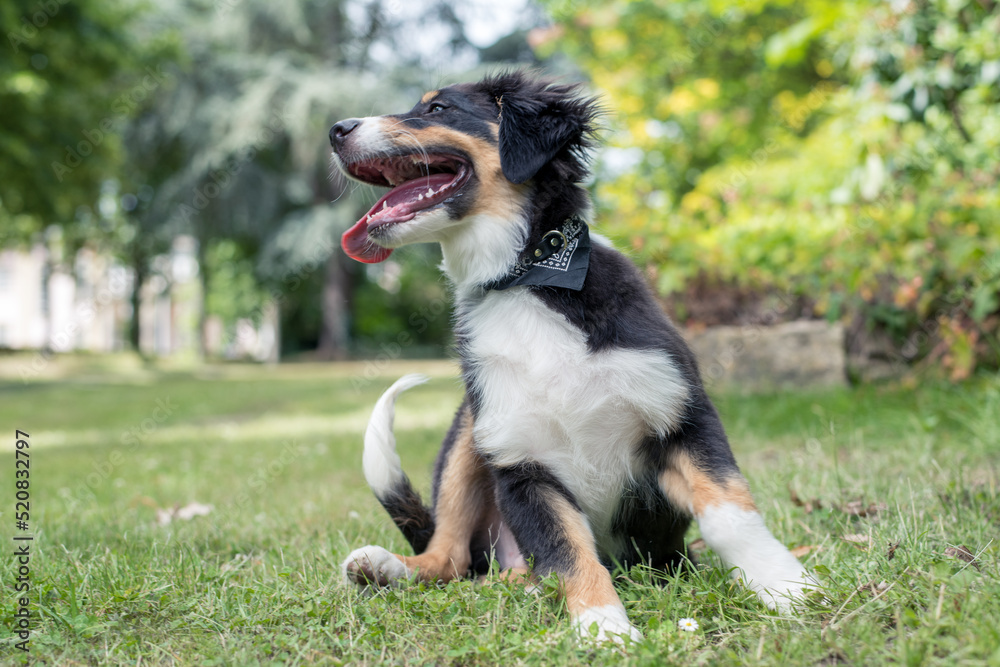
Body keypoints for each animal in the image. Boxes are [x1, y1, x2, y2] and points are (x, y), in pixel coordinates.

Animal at [330, 70, 812, 644]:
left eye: (438, 108)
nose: (335, 130)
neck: (524, 279)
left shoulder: (680, 414)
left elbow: (729, 516)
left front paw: (787, 588)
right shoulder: (520, 463)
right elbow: (568, 552)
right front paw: (605, 631)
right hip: (469, 431)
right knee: (448, 556)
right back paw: (384, 567)